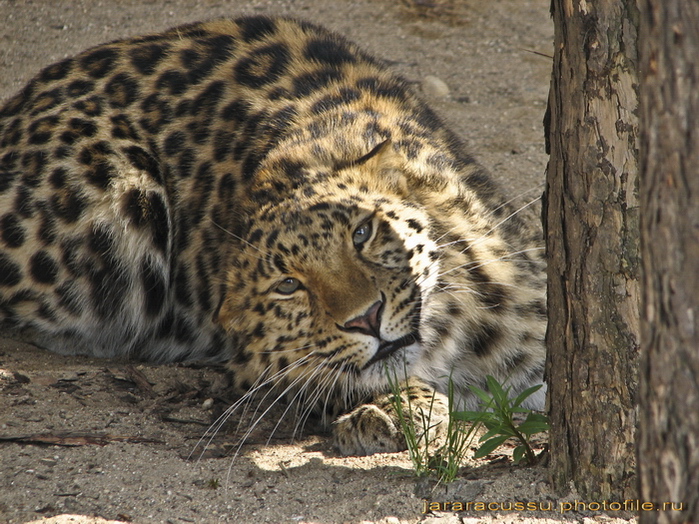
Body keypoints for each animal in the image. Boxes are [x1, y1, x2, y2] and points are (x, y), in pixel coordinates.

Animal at [0, 15, 548, 454]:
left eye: (363, 233)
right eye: (289, 286)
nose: (366, 319)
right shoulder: (253, 364)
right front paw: (392, 411)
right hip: (115, 203)